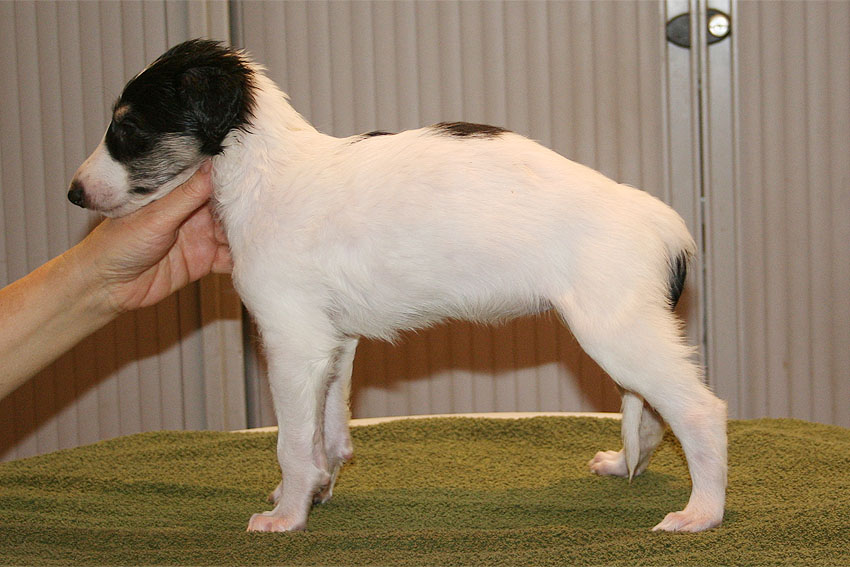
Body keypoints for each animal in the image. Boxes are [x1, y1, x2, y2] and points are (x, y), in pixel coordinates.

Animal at [68, 39, 727, 533]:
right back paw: (626, 464)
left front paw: (286, 515)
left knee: (700, 410)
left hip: (616, 331)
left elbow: (291, 441)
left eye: (127, 128)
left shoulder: (292, 342)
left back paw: (701, 513)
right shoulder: (333, 344)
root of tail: (661, 221)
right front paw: (316, 487)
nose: (74, 193)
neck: (268, 174)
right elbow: (327, 432)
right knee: (650, 414)